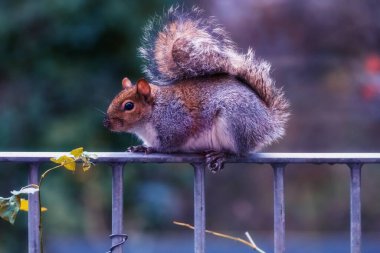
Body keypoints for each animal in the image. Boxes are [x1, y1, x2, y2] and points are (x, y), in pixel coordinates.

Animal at [102, 5, 290, 172]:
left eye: (129, 106)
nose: (106, 123)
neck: (154, 111)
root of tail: (268, 121)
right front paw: (140, 147)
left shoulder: (176, 123)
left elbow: (168, 145)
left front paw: (150, 149)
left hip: (236, 123)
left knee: (238, 152)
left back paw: (222, 155)